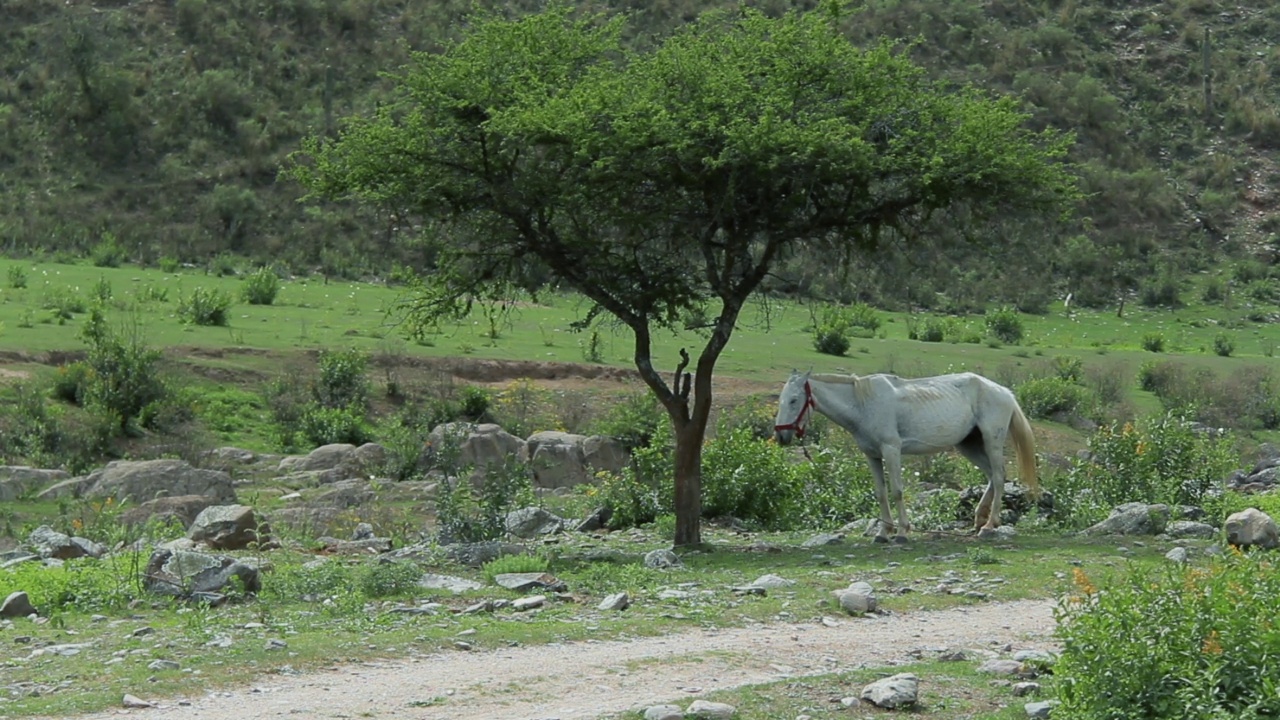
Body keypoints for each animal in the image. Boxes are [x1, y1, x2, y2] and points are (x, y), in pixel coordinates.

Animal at [768, 366, 1039, 540]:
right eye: (781, 400)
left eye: (794, 400)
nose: (781, 436)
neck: (863, 404)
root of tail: (1004, 391)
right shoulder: (872, 456)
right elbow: (880, 493)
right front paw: (882, 532)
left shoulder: (891, 450)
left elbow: (897, 491)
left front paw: (901, 531)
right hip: (969, 445)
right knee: (992, 476)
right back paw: (979, 520)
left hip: (992, 441)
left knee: (1000, 476)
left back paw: (990, 526)